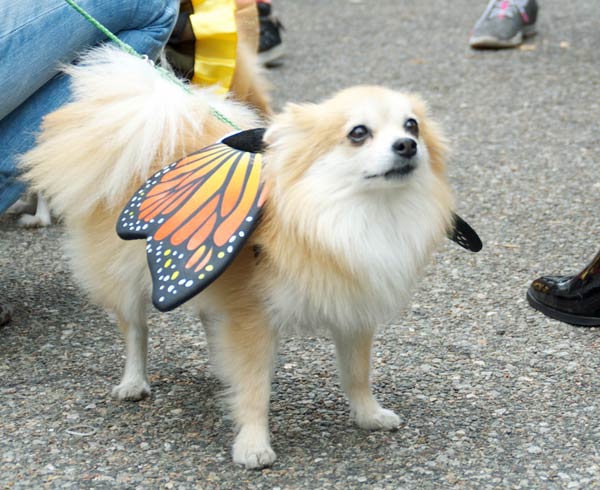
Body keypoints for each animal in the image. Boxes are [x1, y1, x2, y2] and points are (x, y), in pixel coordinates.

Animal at [22, 47, 454, 468]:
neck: (346, 215)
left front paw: (368, 414)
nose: (407, 145)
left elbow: (357, 372)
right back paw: (134, 381)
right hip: (126, 280)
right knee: (135, 331)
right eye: (358, 133)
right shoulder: (253, 318)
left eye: (412, 126)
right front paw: (252, 445)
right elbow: (255, 388)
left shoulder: (352, 308)